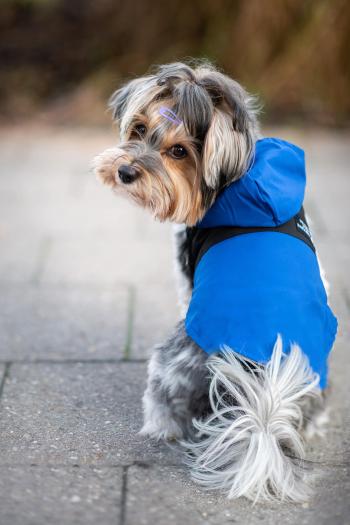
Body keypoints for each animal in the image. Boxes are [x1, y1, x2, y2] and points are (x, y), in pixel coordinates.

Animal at [92, 59, 336, 502]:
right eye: (138, 129)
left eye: (179, 151)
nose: (125, 171)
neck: (242, 178)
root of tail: (262, 384)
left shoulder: (187, 272)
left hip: (175, 361)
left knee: (162, 396)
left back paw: (158, 426)